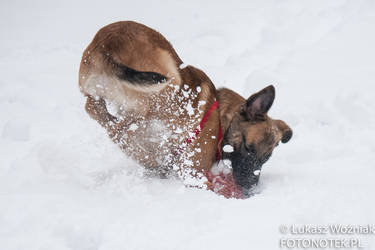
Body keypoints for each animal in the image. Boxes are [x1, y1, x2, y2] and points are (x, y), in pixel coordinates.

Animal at [78, 21, 292, 197]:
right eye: (248, 147)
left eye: (266, 158)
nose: (250, 188)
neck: (221, 119)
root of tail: (109, 40)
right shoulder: (193, 172)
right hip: (167, 81)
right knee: (125, 124)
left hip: (94, 91)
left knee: (97, 112)